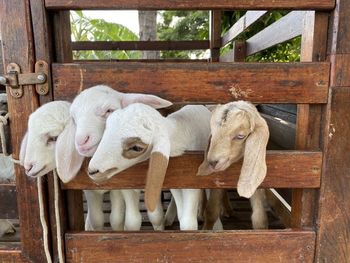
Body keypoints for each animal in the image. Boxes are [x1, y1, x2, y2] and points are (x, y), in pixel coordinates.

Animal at [54, 85, 172, 232]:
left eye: (109, 110)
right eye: (74, 119)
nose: (81, 141)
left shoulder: (118, 188)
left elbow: (119, 219)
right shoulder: (90, 189)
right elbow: (97, 219)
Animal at [198, 100, 270, 230]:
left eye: (240, 136)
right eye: (212, 132)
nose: (212, 162)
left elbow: (260, 219)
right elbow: (211, 211)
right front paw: (205, 230)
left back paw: (228, 210)